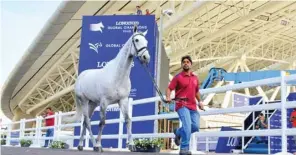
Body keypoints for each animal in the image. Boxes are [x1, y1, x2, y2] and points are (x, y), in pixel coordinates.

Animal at [63, 25, 150, 153]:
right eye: (137, 40)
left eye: (146, 41)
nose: (146, 57)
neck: (117, 76)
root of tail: (80, 77)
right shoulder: (104, 102)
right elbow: (102, 123)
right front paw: (99, 145)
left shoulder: (123, 100)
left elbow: (128, 120)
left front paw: (132, 145)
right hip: (84, 101)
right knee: (88, 122)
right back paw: (94, 145)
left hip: (92, 104)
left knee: (84, 123)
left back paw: (80, 145)